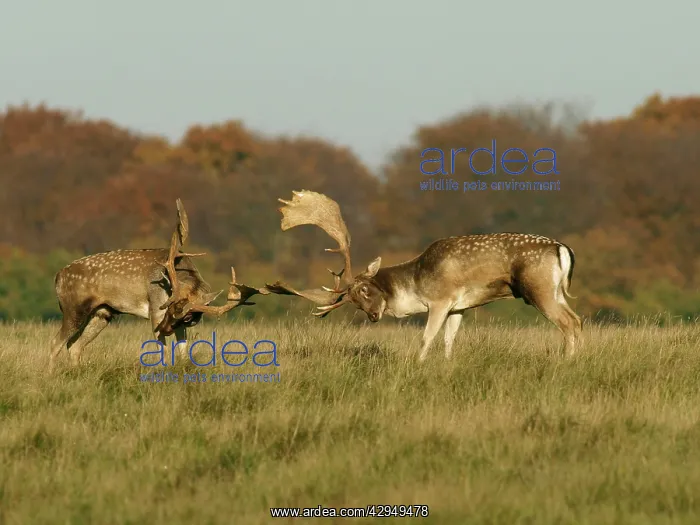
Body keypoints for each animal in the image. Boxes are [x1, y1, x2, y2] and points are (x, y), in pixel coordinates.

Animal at [49, 199, 269, 369]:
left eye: (187, 317)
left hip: (102, 313)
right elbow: (161, 350)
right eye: (167, 306)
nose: (163, 329)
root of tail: (58, 276)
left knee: (74, 346)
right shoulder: (155, 308)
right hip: (73, 308)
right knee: (55, 344)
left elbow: (182, 351)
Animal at [264, 190, 582, 361]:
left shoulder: (441, 299)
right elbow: (449, 340)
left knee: (567, 323)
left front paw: (417, 364)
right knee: (577, 319)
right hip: (555, 290)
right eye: (352, 301)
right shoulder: (459, 307)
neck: (415, 284)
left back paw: (566, 362)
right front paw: (448, 365)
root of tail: (563, 249)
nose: (374, 316)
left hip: (538, 288)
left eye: (365, 290)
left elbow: (427, 338)